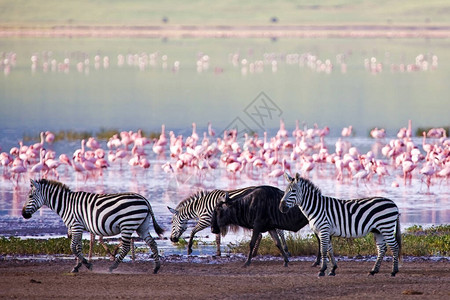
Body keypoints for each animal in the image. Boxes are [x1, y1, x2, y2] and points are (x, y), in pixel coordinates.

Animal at [22, 178, 164, 274]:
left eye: (30, 196)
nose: (23, 214)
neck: (66, 205)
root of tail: (144, 199)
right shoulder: (77, 228)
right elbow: (78, 247)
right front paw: (77, 266)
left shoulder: (76, 226)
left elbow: (73, 247)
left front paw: (87, 265)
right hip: (142, 226)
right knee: (152, 243)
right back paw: (156, 268)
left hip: (127, 225)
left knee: (126, 247)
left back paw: (112, 267)